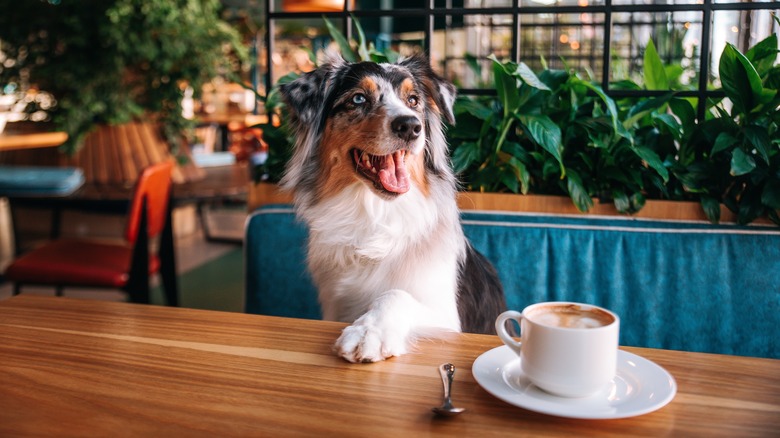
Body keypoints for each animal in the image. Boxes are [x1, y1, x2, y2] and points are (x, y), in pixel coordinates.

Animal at [280, 54, 506, 362]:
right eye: (359, 99)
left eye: (413, 100)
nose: (410, 126)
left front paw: (368, 333)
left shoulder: (447, 317)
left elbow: (396, 295)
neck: (375, 214)